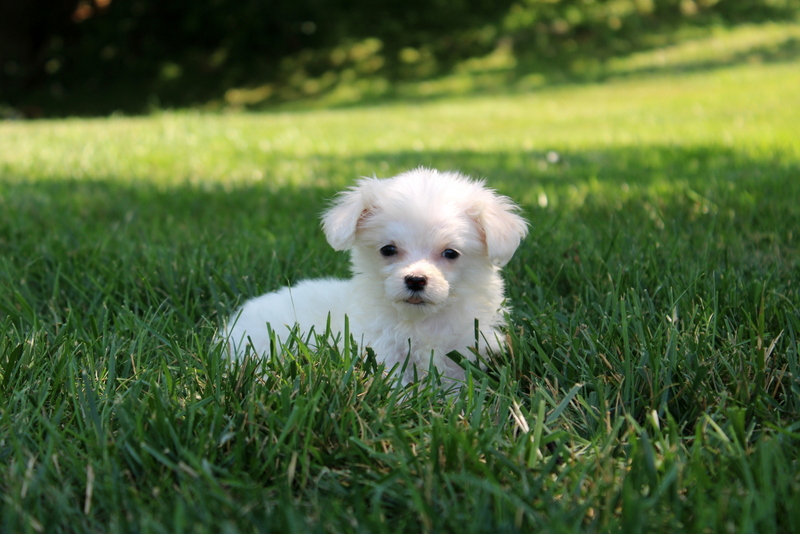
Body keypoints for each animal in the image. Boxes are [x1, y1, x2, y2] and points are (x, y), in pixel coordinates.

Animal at [222, 170, 528, 384]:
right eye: (388, 249)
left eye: (451, 253)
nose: (415, 280)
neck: (421, 322)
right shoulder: (382, 352)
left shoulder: (465, 350)